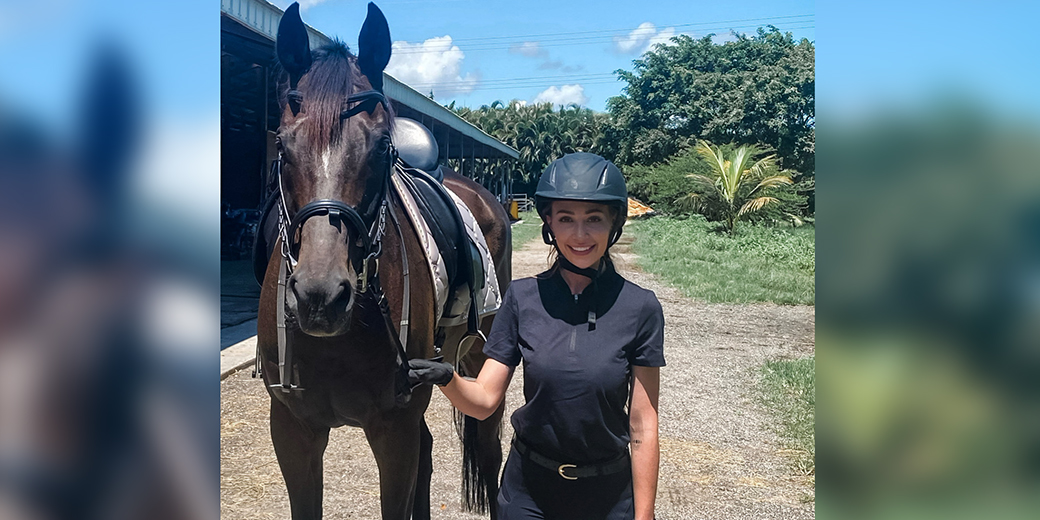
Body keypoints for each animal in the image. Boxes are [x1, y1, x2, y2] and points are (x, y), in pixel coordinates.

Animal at [253, 4, 509, 520]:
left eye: (380, 149)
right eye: (283, 147)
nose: (320, 297)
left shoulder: (393, 427)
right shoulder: (293, 429)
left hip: (478, 356)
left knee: (490, 448)